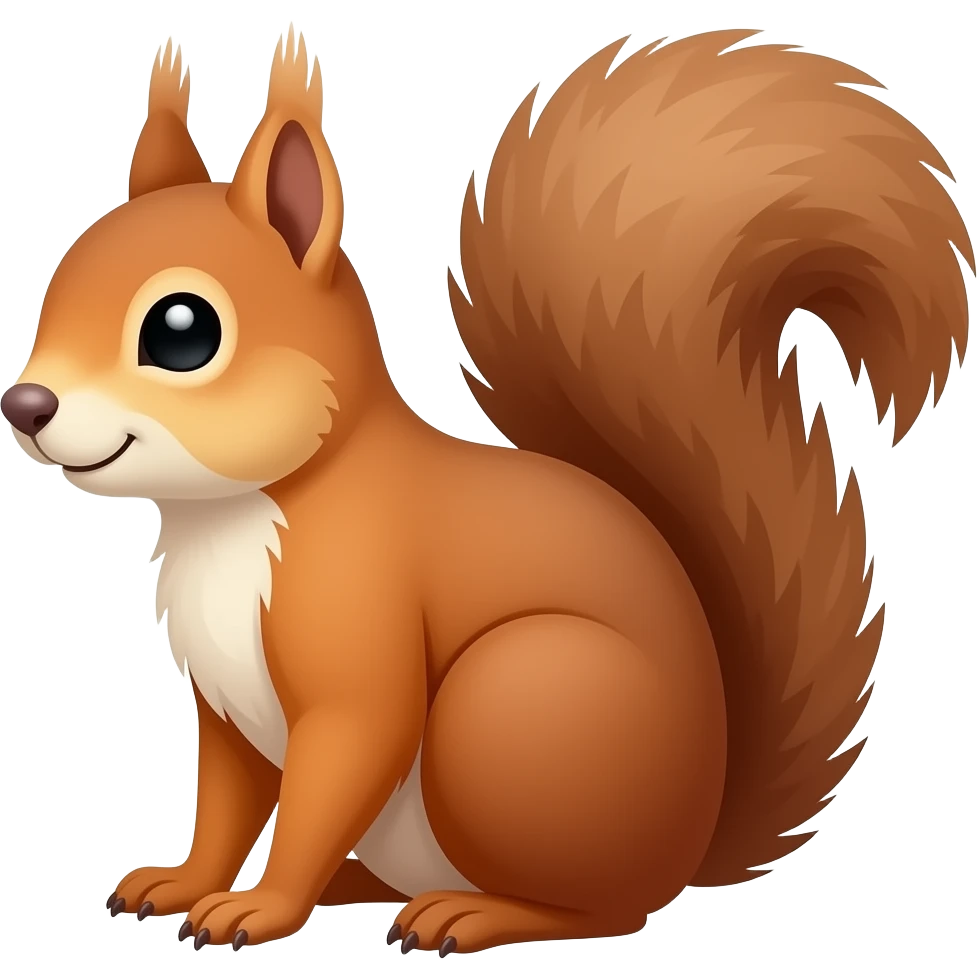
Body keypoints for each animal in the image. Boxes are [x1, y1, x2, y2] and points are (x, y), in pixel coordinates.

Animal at [3, 24, 973, 957]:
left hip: (514, 708)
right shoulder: (225, 708)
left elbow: (337, 766)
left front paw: (261, 905)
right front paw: (184, 881)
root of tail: (690, 842)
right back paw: (358, 885)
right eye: (57, 284)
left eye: (182, 330)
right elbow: (227, 804)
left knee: (597, 906)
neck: (230, 518)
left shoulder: (359, 640)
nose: (24, 404)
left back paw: (468, 914)